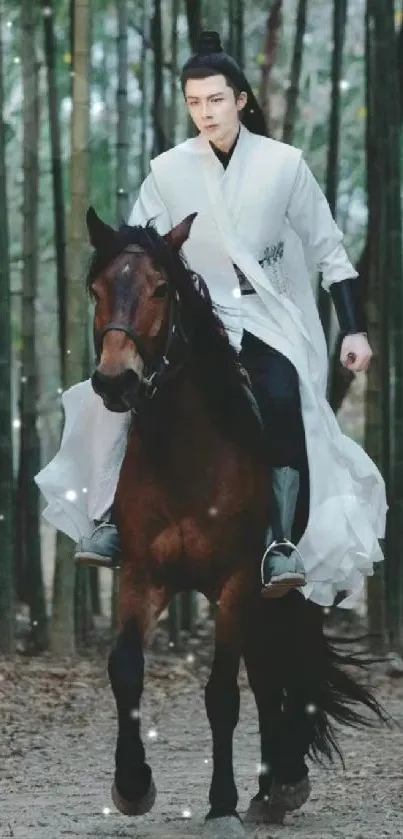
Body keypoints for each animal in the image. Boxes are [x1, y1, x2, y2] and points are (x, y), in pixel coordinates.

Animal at [85, 205, 388, 839]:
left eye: (161, 288)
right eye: (96, 289)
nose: (117, 380)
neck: (184, 454)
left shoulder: (235, 581)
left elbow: (223, 692)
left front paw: (221, 804)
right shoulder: (142, 575)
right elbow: (125, 669)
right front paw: (132, 785)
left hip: (281, 591)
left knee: (280, 668)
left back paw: (284, 782)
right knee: (267, 669)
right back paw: (273, 789)